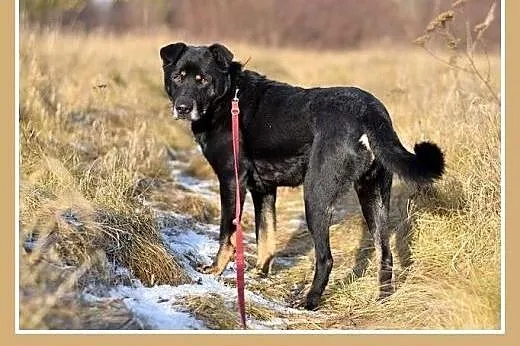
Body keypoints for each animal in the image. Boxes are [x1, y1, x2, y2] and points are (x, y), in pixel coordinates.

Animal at [160, 42, 444, 310]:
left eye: (203, 79)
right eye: (177, 76)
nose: (182, 108)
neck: (228, 98)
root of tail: (370, 112)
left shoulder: (231, 180)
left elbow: (226, 232)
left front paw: (215, 270)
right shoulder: (263, 189)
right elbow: (266, 235)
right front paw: (260, 272)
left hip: (315, 195)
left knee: (325, 258)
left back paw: (309, 301)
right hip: (373, 196)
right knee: (385, 253)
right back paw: (382, 301)